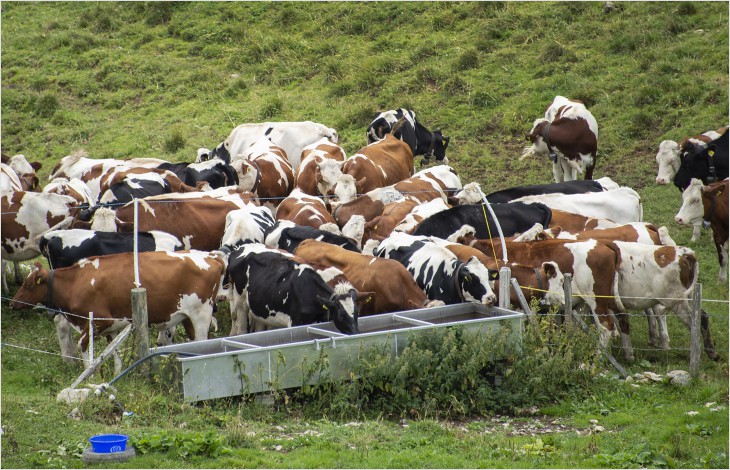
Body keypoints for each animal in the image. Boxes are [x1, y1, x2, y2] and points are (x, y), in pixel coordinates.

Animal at [222, 242, 358, 334]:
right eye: (341, 315)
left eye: (357, 313)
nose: (355, 333)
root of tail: (238, 249)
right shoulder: (295, 323)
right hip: (240, 303)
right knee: (242, 330)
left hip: (258, 306)